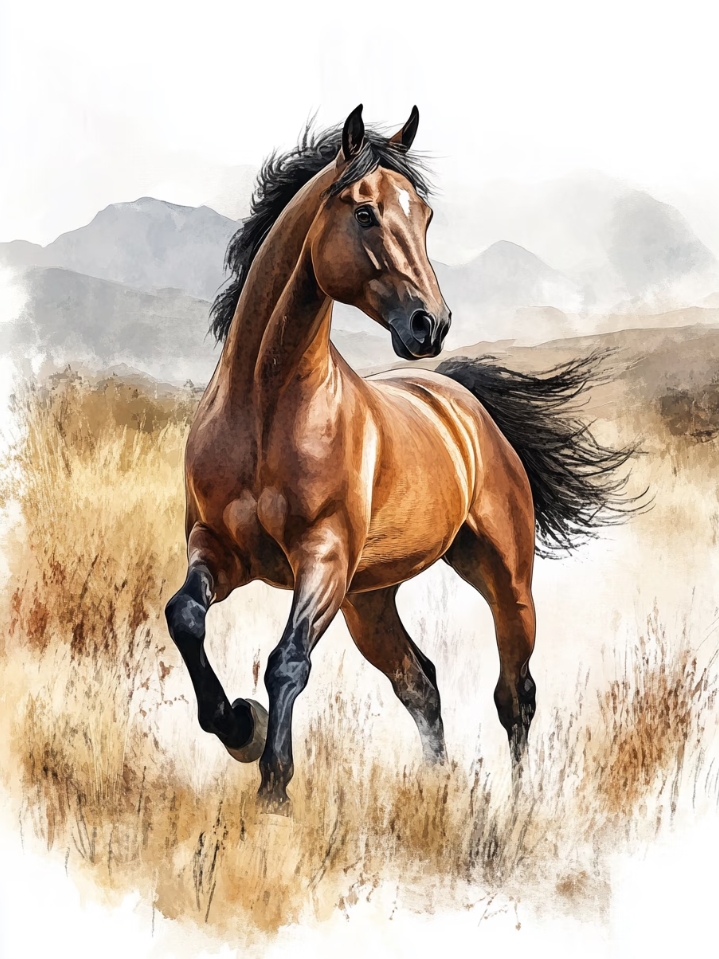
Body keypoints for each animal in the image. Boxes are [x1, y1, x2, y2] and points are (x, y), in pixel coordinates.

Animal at [165, 105, 636, 812]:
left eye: (426, 216)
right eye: (365, 213)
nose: (429, 325)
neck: (264, 407)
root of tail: (461, 401)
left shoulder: (323, 558)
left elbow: (287, 662)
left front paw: (273, 785)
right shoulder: (218, 547)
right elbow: (186, 618)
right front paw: (239, 728)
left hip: (504, 581)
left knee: (515, 694)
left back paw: (517, 805)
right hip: (370, 600)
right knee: (421, 681)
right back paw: (438, 786)